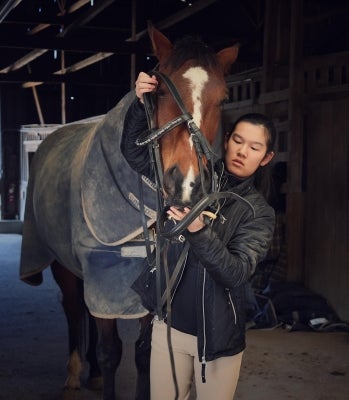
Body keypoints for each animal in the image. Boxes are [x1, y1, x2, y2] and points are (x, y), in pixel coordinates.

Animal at [19, 22, 239, 400]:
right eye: (159, 91)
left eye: (223, 98)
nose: (185, 184)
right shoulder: (104, 274)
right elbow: (111, 351)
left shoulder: (149, 286)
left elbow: (143, 354)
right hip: (66, 267)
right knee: (74, 311)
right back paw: (74, 374)